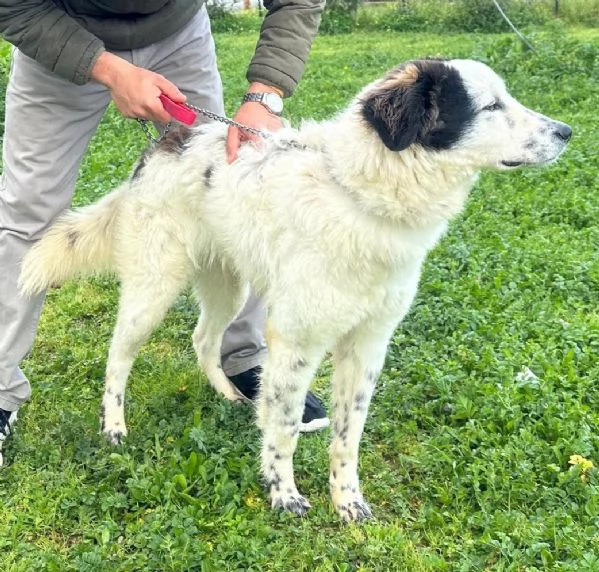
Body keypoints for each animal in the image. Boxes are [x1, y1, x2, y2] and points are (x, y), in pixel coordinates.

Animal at [19, 59, 572, 524]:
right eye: (491, 106)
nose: (567, 132)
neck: (362, 195)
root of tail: (169, 136)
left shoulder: (368, 346)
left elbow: (347, 437)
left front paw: (347, 502)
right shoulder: (296, 338)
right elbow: (283, 426)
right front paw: (283, 494)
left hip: (229, 285)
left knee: (203, 339)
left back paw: (230, 396)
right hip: (154, 287)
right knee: (118, 355)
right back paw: (113, 426)